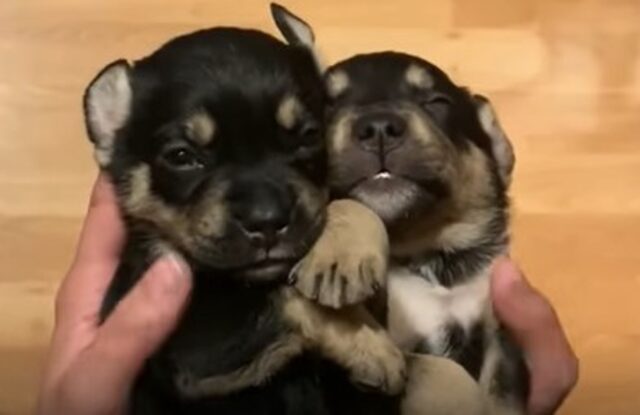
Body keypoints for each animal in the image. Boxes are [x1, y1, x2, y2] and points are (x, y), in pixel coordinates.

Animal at [272, 4, 528, 415]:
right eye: (326, 109)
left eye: (437, 103)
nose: (377, 126)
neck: (425, 255)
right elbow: (438, 371)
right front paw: (340, 259)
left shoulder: (500, 341)